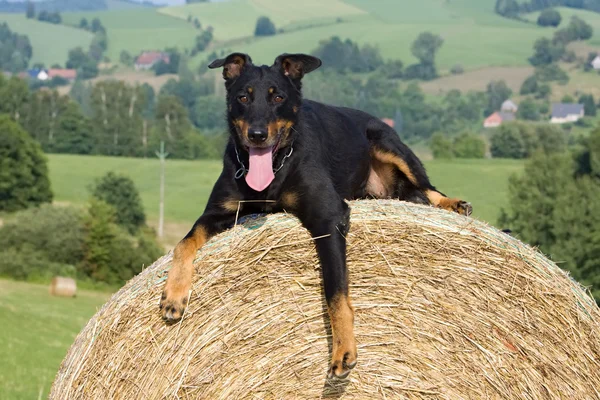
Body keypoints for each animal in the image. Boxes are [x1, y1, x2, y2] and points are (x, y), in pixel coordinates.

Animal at [161, 52, 474, 378]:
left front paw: (343, 349)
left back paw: (454, 204)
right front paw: (174, 294)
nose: (257, 135)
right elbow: (184, 243)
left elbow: (335, 291)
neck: (275, 170)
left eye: (278, 97)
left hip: (390, 145)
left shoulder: (328, 217)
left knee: (427, 187)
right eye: (243, 97)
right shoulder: (218, 212)